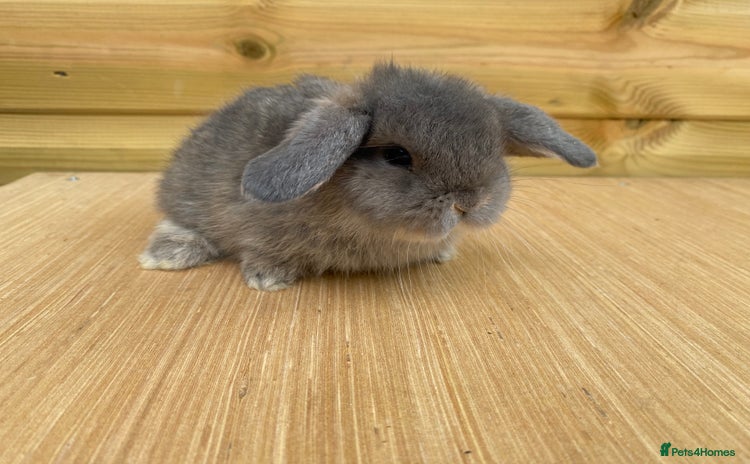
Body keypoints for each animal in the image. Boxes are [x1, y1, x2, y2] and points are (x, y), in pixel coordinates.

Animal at [139, 62, 597, 290]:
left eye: (493, 151)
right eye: (396, 155)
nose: (469, 203)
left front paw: (444, 252)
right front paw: (268, 278)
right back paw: (166, 255)